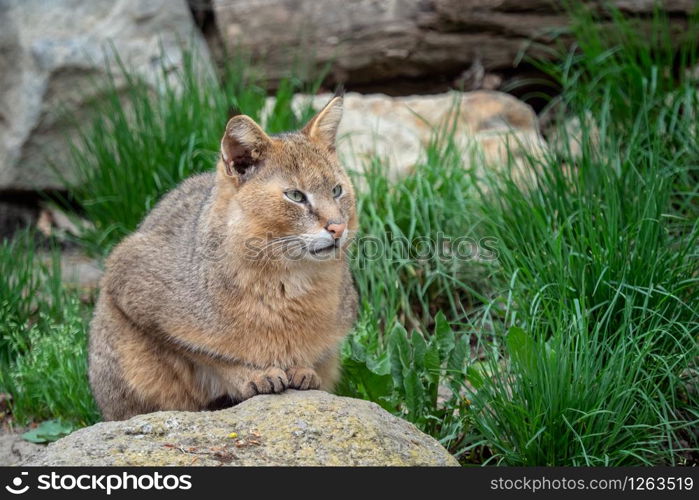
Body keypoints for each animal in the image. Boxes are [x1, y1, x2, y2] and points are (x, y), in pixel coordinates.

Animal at [89, 94, 358, 422]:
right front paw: (250, 375)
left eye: (337, 190)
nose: (338, 227)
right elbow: (204, 354)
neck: (286, 283)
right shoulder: (130, 282)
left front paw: (303, 368)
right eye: (295, 196)